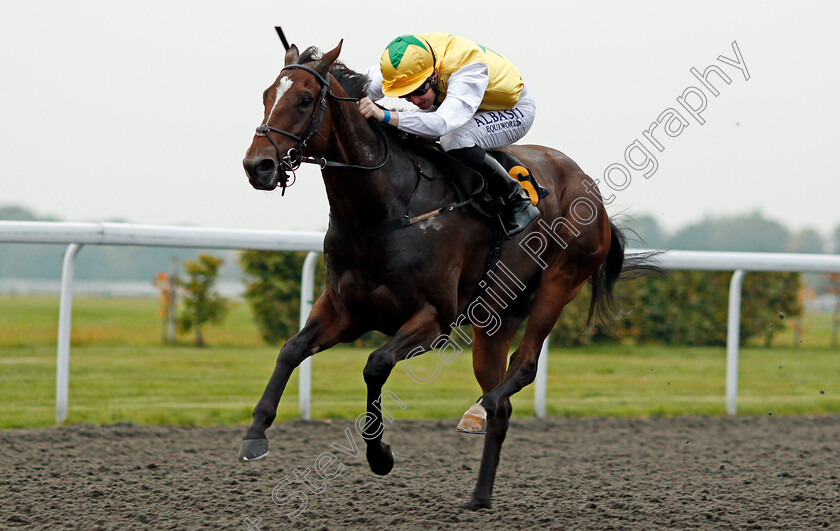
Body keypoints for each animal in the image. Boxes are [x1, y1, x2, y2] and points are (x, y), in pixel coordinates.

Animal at [240, 39, 652, 510]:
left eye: (306, 99)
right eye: (266, 95)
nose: (258, 166)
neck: (384, 210)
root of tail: (590, 190)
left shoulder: (434, 318)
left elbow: (376, 364)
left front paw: (380, 454)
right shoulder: (344, 311)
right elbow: (290, 350)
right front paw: (255, 434)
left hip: (559, 282)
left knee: (524, 367)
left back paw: (476, 410)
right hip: (495, 317)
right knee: (503, 405)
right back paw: (479, 495)